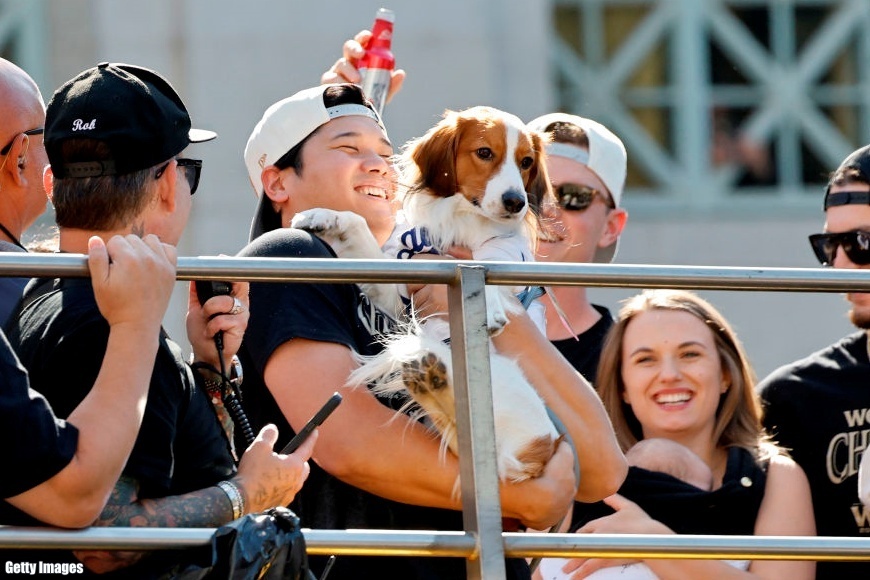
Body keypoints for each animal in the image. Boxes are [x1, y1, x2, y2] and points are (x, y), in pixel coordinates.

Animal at [292, 106, 564, 482]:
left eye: (526, 161)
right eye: (484, 153)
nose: (516, 202)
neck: (463, 222)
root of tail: (540, 448)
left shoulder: (506, 254)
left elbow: (491, 260)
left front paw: (491, 307)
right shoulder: (397, 294)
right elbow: (358, 226)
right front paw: (324, 216)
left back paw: (431, 378)